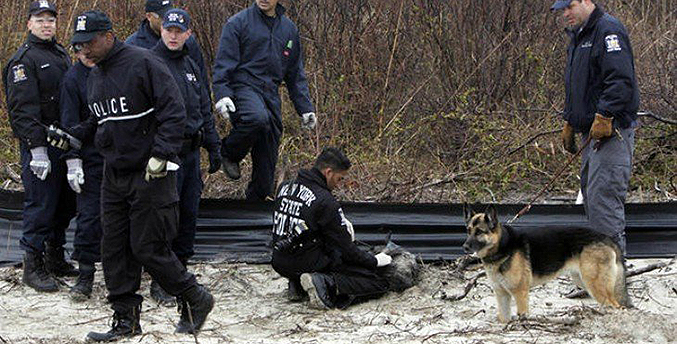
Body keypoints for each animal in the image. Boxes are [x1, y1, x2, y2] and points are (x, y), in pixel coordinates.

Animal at [460, 204, 628, 322]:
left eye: (479, 232)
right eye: (468, 231)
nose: (464, 247)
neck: (502, 246)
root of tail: (607, 238)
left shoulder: (520, 294)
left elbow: (522, 316)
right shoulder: (502, 296)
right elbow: (504, 320)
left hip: (594, 284)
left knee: (616, 306)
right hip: (583, 280)